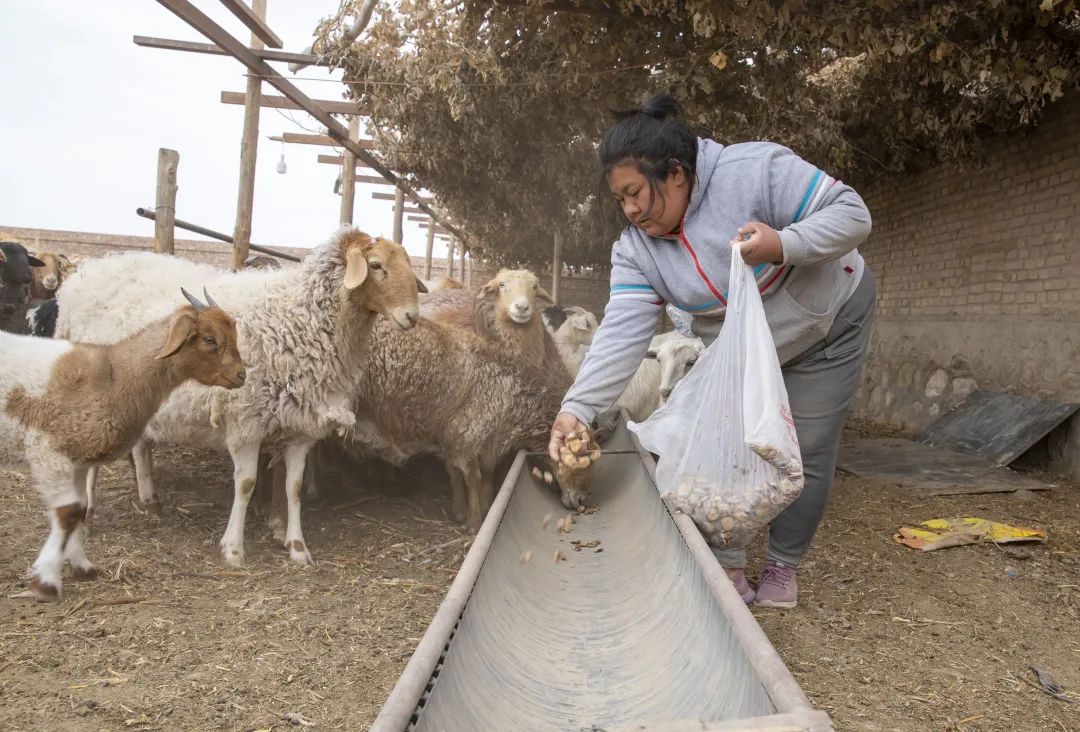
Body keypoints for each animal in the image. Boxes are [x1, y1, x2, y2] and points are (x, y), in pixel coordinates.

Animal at [1, 287, 246, 600]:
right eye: (209, 338)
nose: (242, 375)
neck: (112, 376)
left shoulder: (79, 459)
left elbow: (80, 508)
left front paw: (81, 565)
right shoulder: (51, 453)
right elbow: (68, 513)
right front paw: (46, 581)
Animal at [55, 228, 425, 565]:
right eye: (375, 265)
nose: (412, 316)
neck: (298, 320)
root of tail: (80, 282)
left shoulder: (299, 427)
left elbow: (293, 487)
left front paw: (297, 547)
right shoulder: (246, 422)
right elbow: (245, 484)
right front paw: (233, 549)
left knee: (141, 445)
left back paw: (150, 502)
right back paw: (89, 513)